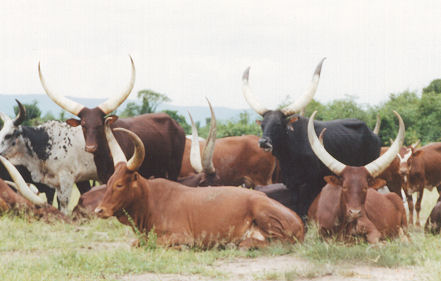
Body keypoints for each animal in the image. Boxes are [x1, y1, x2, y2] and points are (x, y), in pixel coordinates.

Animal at [38, 56, 187, 182]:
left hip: (174, 168)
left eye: (100, 124)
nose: (91, 147)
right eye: (84, 125)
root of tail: (175, 124)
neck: (104, 153)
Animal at [94, 118, 304, 247]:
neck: (150, 201)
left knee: (277, 242)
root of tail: (299, 221)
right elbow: (135, 244)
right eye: (109, 181)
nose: (99, 210)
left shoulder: (182, 236)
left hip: (263, 212)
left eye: (120, 184)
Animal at [242, 58, 380, 217]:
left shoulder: (312, 184)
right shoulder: (292, 184)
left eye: (278, 124)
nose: (263, 142)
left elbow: (306, 209)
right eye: (262, 125)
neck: (291, 154)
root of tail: (373, 133)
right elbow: (297, 207)